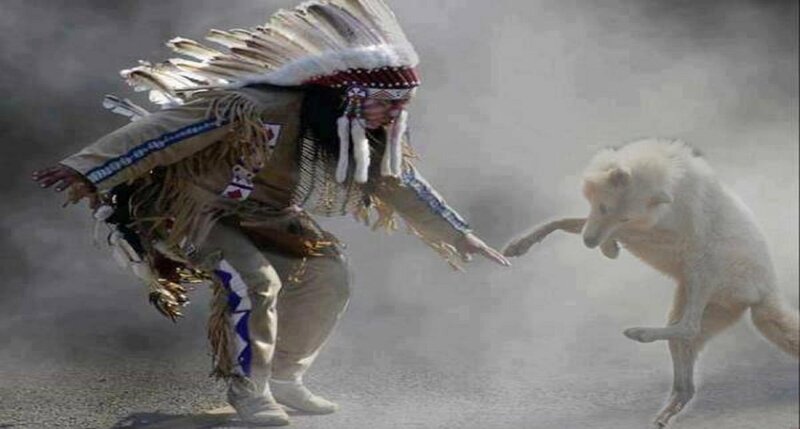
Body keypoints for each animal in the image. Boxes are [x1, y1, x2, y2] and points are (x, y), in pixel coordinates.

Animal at [503, 138, 799, 427]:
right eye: (604, 208)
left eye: (624, 216)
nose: (589, 244)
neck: (671, 182)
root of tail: (768, 293)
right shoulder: (611, 224)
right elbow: (564, 221)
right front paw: (519, 245)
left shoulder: (661, 235)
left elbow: (609, 231)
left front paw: (609, 248)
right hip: (688, 303)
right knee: (685, 363)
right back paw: (667, 411)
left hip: (701, 268)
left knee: (689, 327)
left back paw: (640, 334)